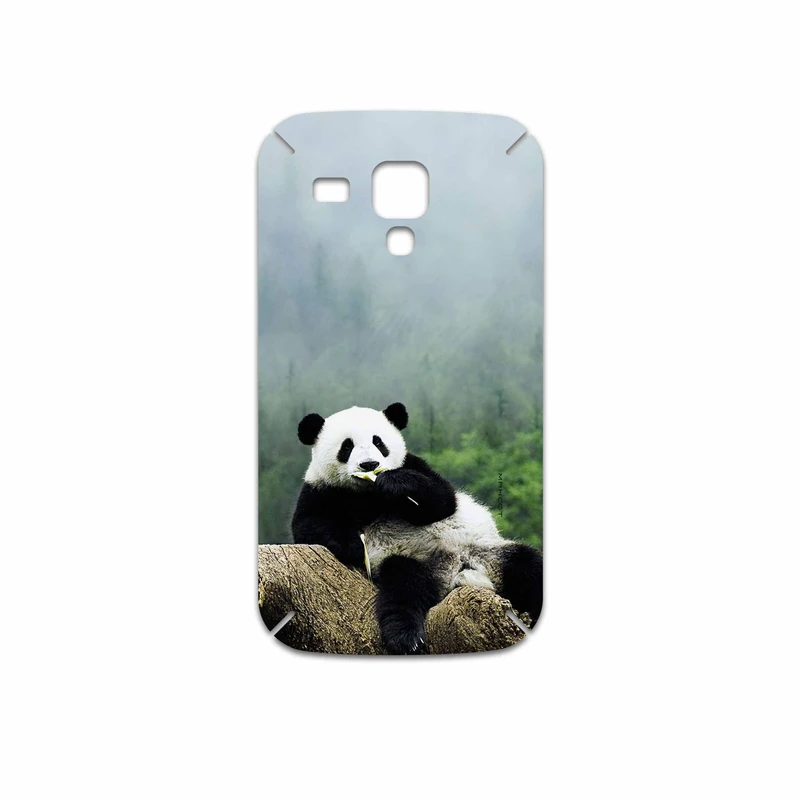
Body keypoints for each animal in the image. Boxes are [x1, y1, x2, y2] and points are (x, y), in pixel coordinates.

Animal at [292, 402, 543, 654]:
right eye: (347, 446)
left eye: (378, 442)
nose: (370, 465)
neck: (368, 495)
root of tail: (456, 572)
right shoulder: (320, 489)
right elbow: (308, 525)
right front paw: (353, 545)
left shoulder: (413, 464)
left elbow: (442, 500)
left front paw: (394, 483)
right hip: (411, 561)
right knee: (404, 588)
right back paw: (407, 638)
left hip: (488, 551)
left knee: (528, 565)